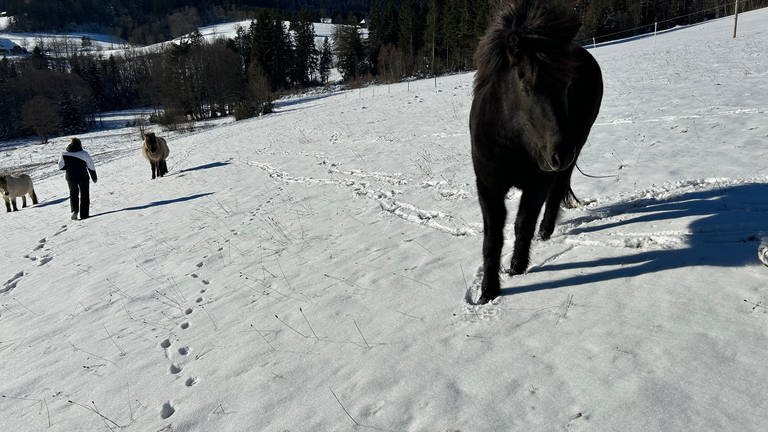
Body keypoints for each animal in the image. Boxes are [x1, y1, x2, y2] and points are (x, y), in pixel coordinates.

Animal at [472, 0, 604, 304]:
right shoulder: (488, 185)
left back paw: (545, 231)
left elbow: (523, 224)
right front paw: (487, 292)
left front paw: (516, 269)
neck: (513, 143)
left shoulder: (537, 182)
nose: (559, 153)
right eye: (524, 81)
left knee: (558, 190)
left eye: (567, 83)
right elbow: (492, 238)